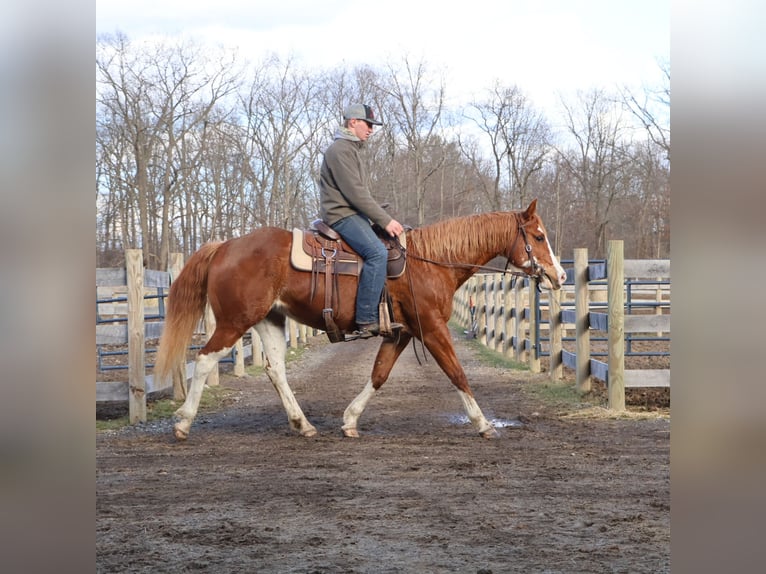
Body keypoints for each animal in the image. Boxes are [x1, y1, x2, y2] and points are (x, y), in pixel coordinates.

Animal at [154, 199, 567, 440]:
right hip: (234, 322)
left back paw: (302, 424)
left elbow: (379, 375)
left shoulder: (401, 334)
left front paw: (350, 419)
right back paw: (183, 422)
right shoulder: (432, 329)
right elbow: (457, 373)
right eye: (539, 236)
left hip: (270, 320)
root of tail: (224, 245)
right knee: (204, 360)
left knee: (276, 371)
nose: (559, 275)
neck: (428, 263)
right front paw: (482, 424)